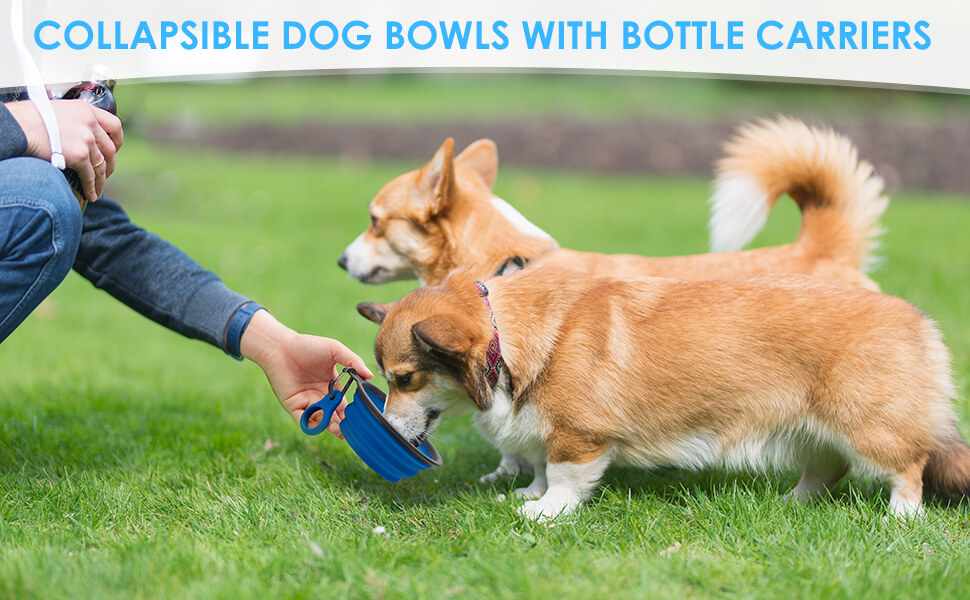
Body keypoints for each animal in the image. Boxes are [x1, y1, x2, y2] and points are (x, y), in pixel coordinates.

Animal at [358, 270, 968, 524]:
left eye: (404, 378)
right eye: (385, 376)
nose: (383, 425)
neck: (503, 338)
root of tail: (920, 322)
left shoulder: (578, 436)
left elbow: (565, 477)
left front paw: (547, 512)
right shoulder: (545, 431)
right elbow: (539, 466)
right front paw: (526, 495)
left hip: (869, 426)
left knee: (908, 466)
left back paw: (901, 518)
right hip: (810, 430)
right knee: (826, 469)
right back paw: (792, 503)